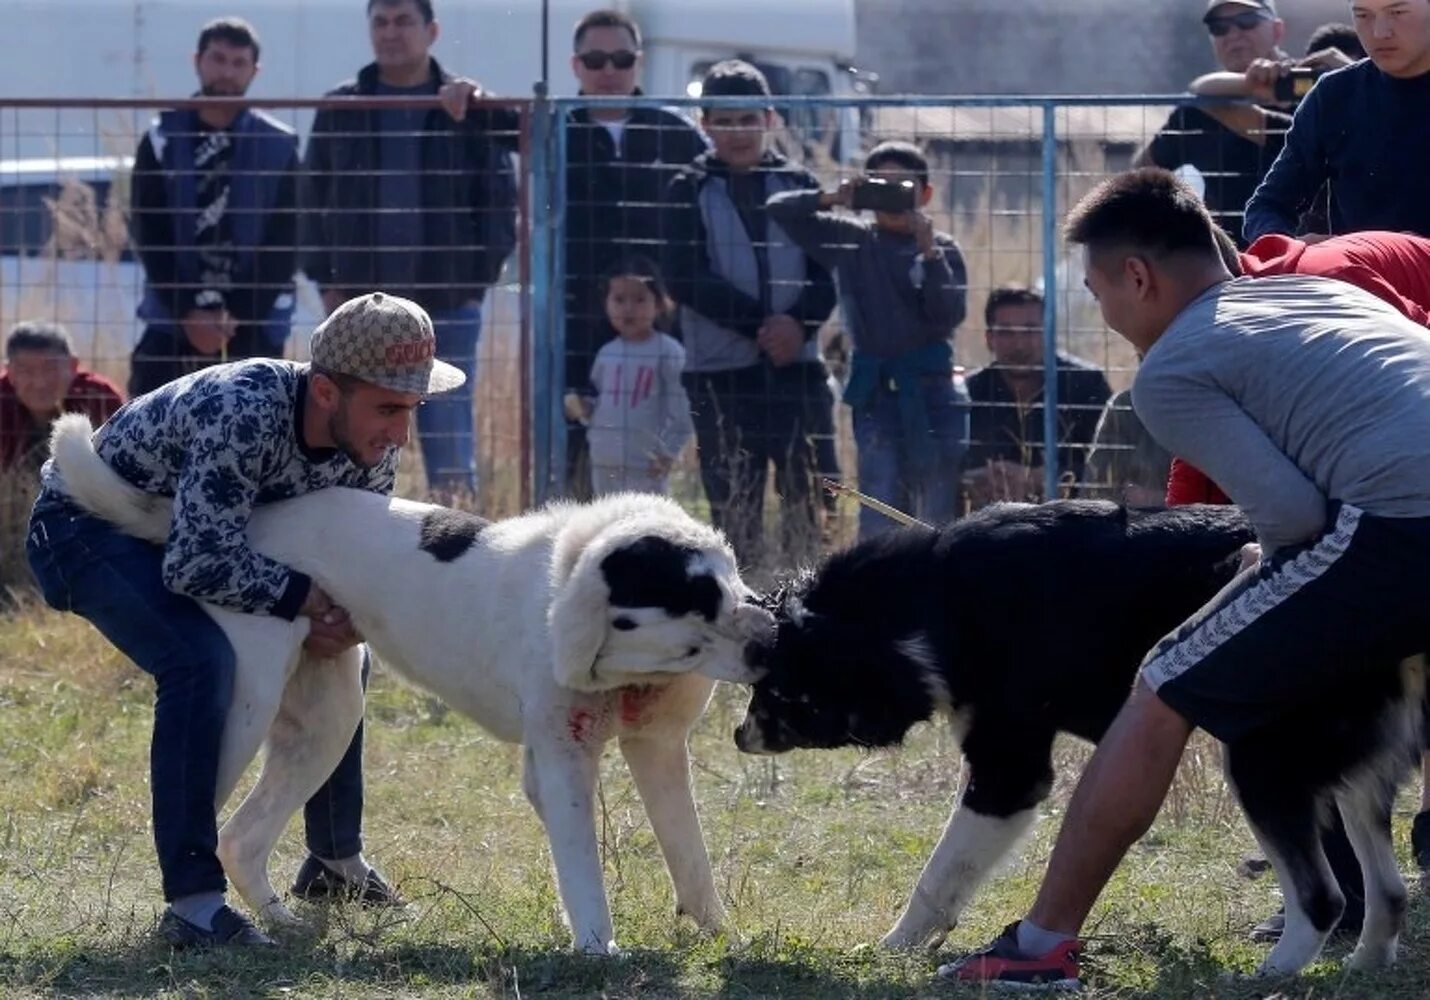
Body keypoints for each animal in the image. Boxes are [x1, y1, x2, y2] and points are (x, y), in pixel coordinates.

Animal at [52, 414, 772, 955]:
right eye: (696, 609)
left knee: (241, 836)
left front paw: (721, 937)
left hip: (329, 719)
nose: (770, 638)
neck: (575, 581)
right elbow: (584, 869)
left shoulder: (657, 751)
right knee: (201, 819)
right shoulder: (563, 760)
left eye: (726, 582)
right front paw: (600, 951)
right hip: (244, 710)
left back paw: (284, 925)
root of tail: (248, 524)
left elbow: (689, 853)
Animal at [709, 500, 1424, 978]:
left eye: (775, 689)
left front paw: (892, 948)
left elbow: (939, 875)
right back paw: (1364, 966)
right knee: (1387, 893)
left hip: (1261, 760)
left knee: (1323, 897)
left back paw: (1271, 977)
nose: (738, 736)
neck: (932, 603)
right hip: (1350, 776)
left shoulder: (1010, 770)